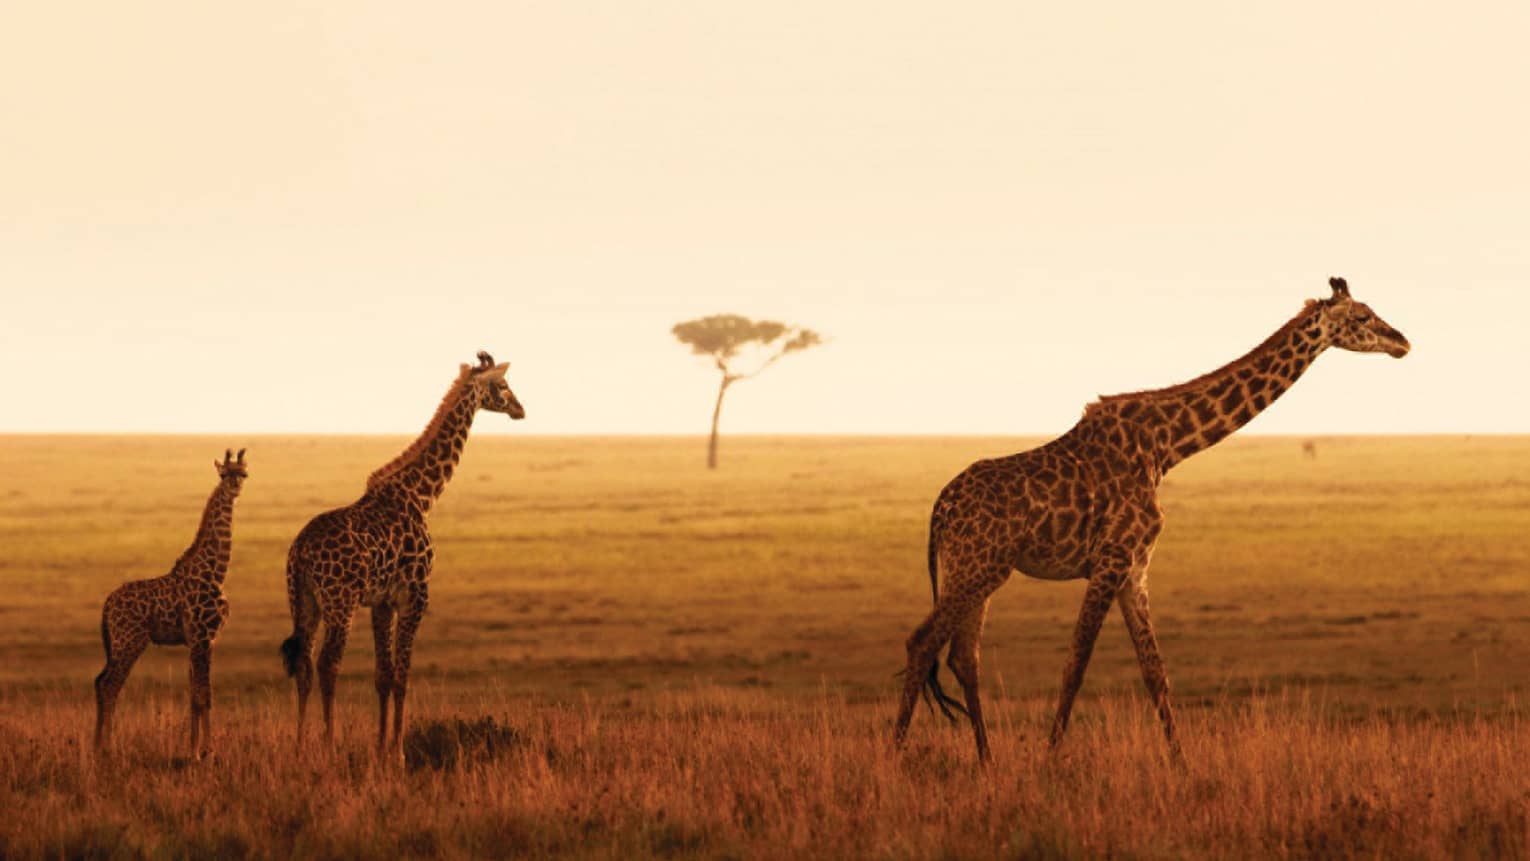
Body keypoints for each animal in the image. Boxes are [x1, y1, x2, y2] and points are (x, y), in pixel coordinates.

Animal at [95, 448, 247, 758]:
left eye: (244, 474)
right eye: (224, 474)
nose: (235, 487)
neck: (216, 572)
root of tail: (107, 605)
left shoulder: (199, 641)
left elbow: (194, 695)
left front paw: (193, 750)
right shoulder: (203, 637)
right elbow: (204, 694)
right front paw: (207, 752)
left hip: (116, 644)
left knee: (99, 682)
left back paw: (96, 746)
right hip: (130, 641)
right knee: (109, 685)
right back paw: (108, 748)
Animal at [280, 351, 525, 755]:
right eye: (503, 385)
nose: (521, 409)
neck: (421, 496)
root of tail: (299, 551)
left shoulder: (381, 601)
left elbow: (383, 674)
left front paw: (381, 748)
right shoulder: (415, 595)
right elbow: (403, 674)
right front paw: (397, 751)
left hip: (304, 600)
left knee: (302, 664)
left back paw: (300, 747)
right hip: (340, 602)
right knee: (328, 664)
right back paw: (329, 744)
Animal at [894, 277, 1410, 762]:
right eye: (1362, 317)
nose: (1402, 341)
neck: (1166, 447)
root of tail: (938, 511)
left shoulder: (1135, 568)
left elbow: (1155, 672)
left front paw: (1182, 764)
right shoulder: (1111, 558)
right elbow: (1077, 662)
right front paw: (1048, 761)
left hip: (973, 571)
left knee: (964, 656)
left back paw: (986, 761)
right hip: (978, 567)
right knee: (923, 642)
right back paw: (896, 757)